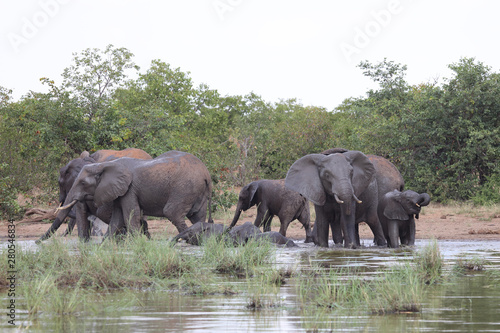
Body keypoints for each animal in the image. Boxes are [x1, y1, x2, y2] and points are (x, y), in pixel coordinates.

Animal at [47, 150, 210, 239]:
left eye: (82, 183)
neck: (99, 164)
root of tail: (206, 174)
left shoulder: (129, 189)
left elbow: (129, 214)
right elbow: (117, 218)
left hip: (185, 187)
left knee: (172, 212)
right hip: (196, 190)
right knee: (197, 216)